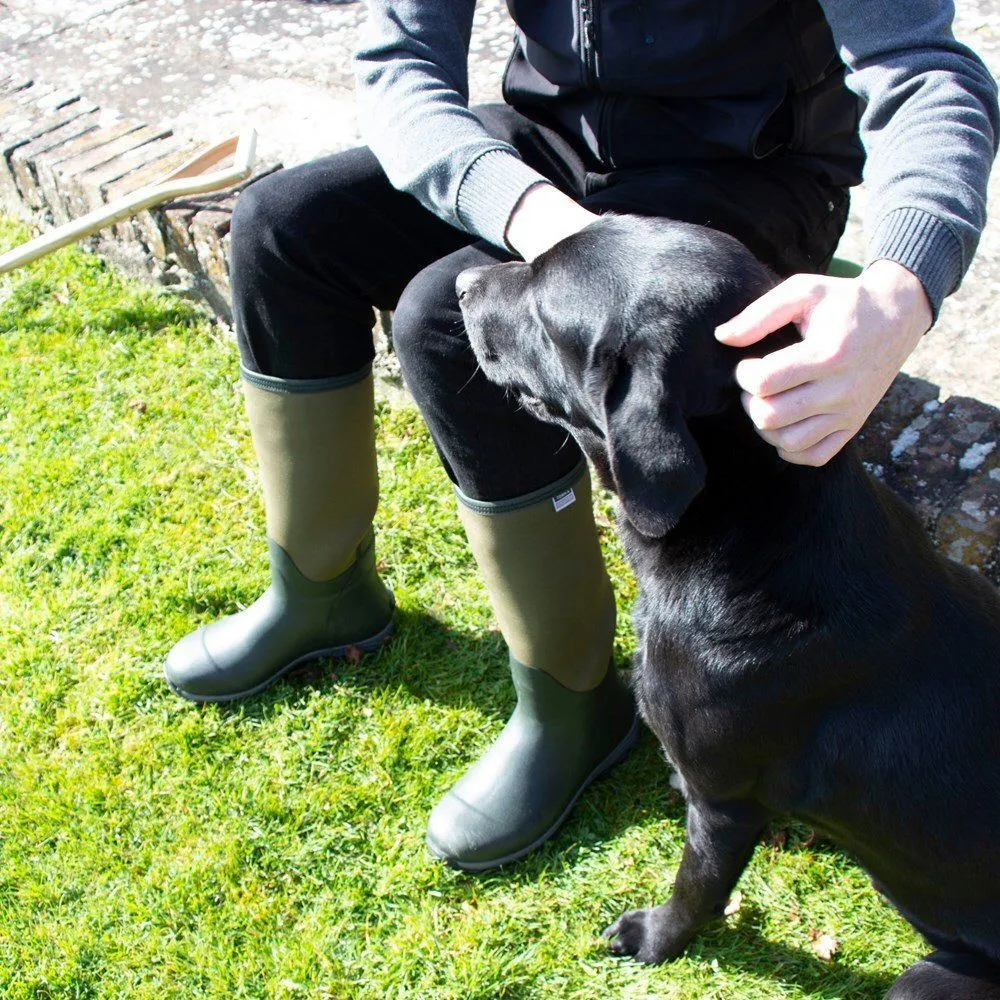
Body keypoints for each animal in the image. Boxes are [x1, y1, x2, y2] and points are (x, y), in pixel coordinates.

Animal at [458, 219, 1000, 1000]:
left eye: (542, 306)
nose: (461, 283)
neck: (753, 527)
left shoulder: (724, 803)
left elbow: (696, 888)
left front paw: (654, 939)